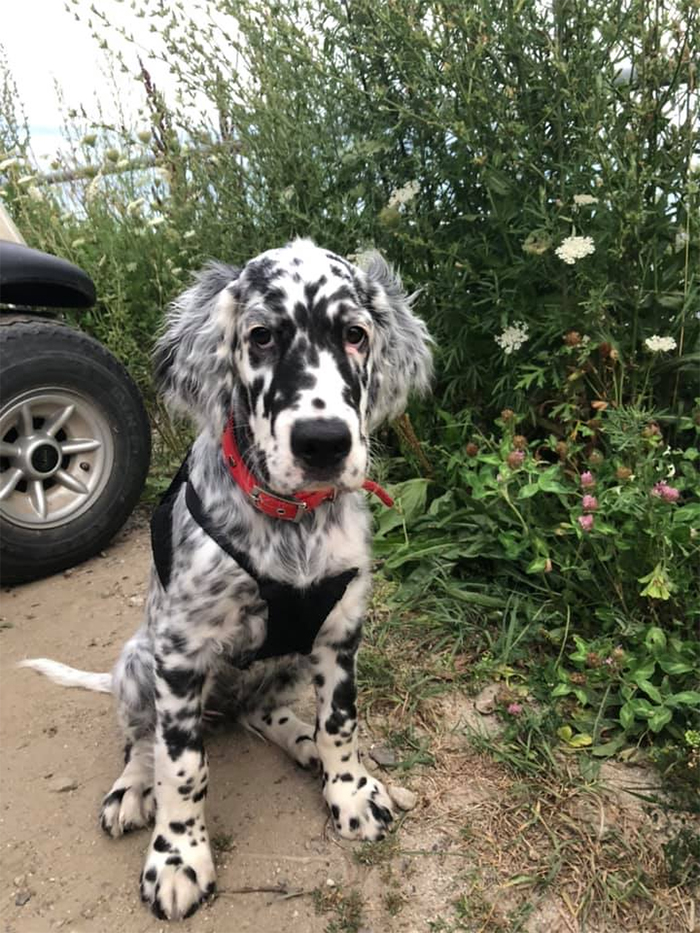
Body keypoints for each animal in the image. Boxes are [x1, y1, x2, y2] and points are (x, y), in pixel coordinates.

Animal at [20, 237, 432, 920]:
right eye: (260, 336)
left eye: (355, 334)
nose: (324, 442)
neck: (290, 520)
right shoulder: (180, 652)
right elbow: (182, 767)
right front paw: (177, 857)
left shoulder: (340, 630)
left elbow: (341, 722)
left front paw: (347, 790)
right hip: (137, 661)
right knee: (141, 739)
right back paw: (132, 789)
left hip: (286, 662)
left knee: (259, 710)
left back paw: (300, 740)